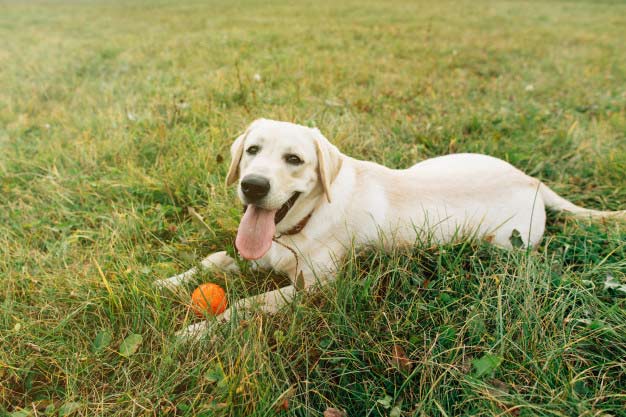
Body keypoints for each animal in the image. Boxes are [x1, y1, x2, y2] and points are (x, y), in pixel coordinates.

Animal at [155, 118, 620, 338]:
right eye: (252, 150)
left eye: (294, 160)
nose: (253, 185)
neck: (301, 223)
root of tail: (532, 181)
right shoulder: (258, 253)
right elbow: (214, 259)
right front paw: (162, 281)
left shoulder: (314, 289)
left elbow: (248, 304)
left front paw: (196, 332)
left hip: (505, 243)